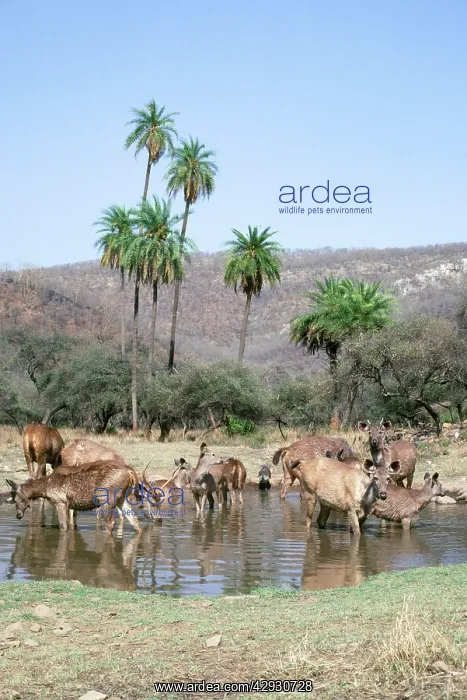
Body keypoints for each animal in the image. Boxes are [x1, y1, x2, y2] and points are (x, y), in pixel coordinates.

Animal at [5, 460, 142, 533]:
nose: (18, 515)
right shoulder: (69, 506)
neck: (45, 489)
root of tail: (131, 472)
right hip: (122, 498)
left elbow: (63, 526)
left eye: (15, 499)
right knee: (135, 521)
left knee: (111, 522)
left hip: (106, 498)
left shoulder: (60, 502)